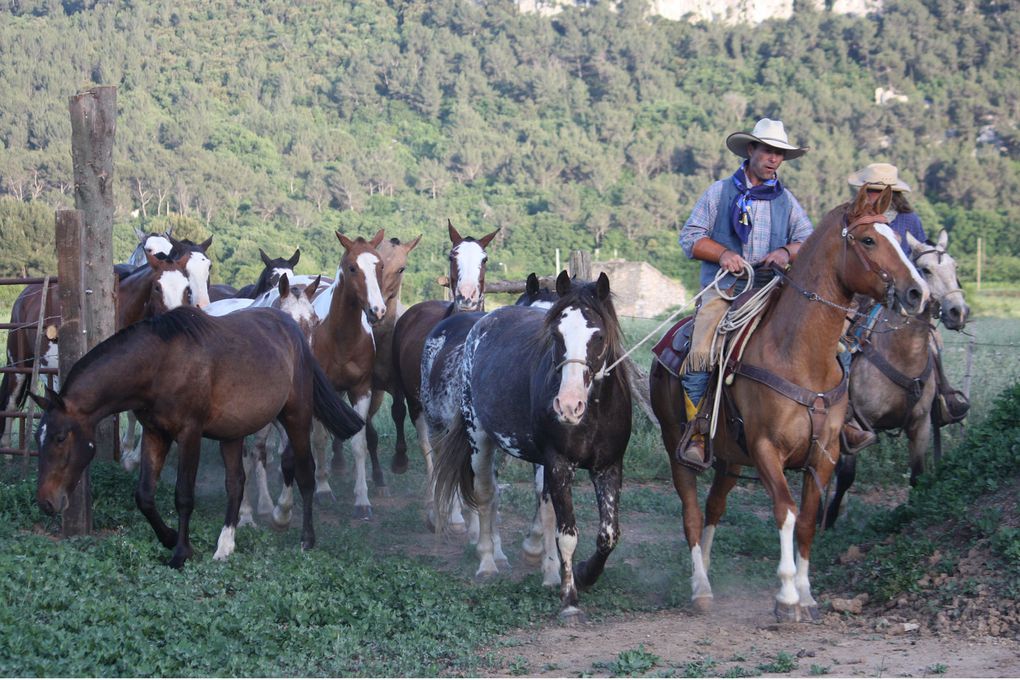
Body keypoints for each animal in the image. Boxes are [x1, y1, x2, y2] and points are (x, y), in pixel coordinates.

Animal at [31, 305, 363, 566]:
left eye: (60, 437)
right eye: (38, 439)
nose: (46, 502)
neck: (160, 364)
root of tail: (293, 328)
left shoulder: (189, 434)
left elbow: (183, 495)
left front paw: (181, 552)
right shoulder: (156, 433)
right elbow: (144, 495)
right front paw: (168, 537)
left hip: (296, 417)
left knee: (305, 474)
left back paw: (306, 539)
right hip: (233, 433)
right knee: (236, 484)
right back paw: (225, 546)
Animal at [428, 273, 628, 623]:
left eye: (599, 335)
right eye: (556, 333)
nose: (568, 405)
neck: (592, 414)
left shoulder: (608, 467)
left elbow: (606, 535)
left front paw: (581, 573)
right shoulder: (558, 463)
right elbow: (567, 533)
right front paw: (569, 598)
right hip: (479, 438)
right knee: (485, 495)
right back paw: (488, 562)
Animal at [648, 186, 930, 623]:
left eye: (898, 239)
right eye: (868, 240)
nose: (918, 293)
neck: (799, 356)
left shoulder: (825, 453)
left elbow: (809, 518)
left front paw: (807, 594)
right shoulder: (767, 449)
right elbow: (786, 510)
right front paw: (785, 595)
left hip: (729, 458)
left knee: (714, 508)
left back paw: (707, 572)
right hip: (676, 446)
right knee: (692, 514)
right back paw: (700, 588)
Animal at [824, 231, 966, 530]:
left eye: (955, 267)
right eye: (926, 270)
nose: (958, 312)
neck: (901, 352)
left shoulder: (920, 423)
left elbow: (917, 475)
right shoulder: (857, 423)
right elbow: (846, 476)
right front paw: (828, 520)